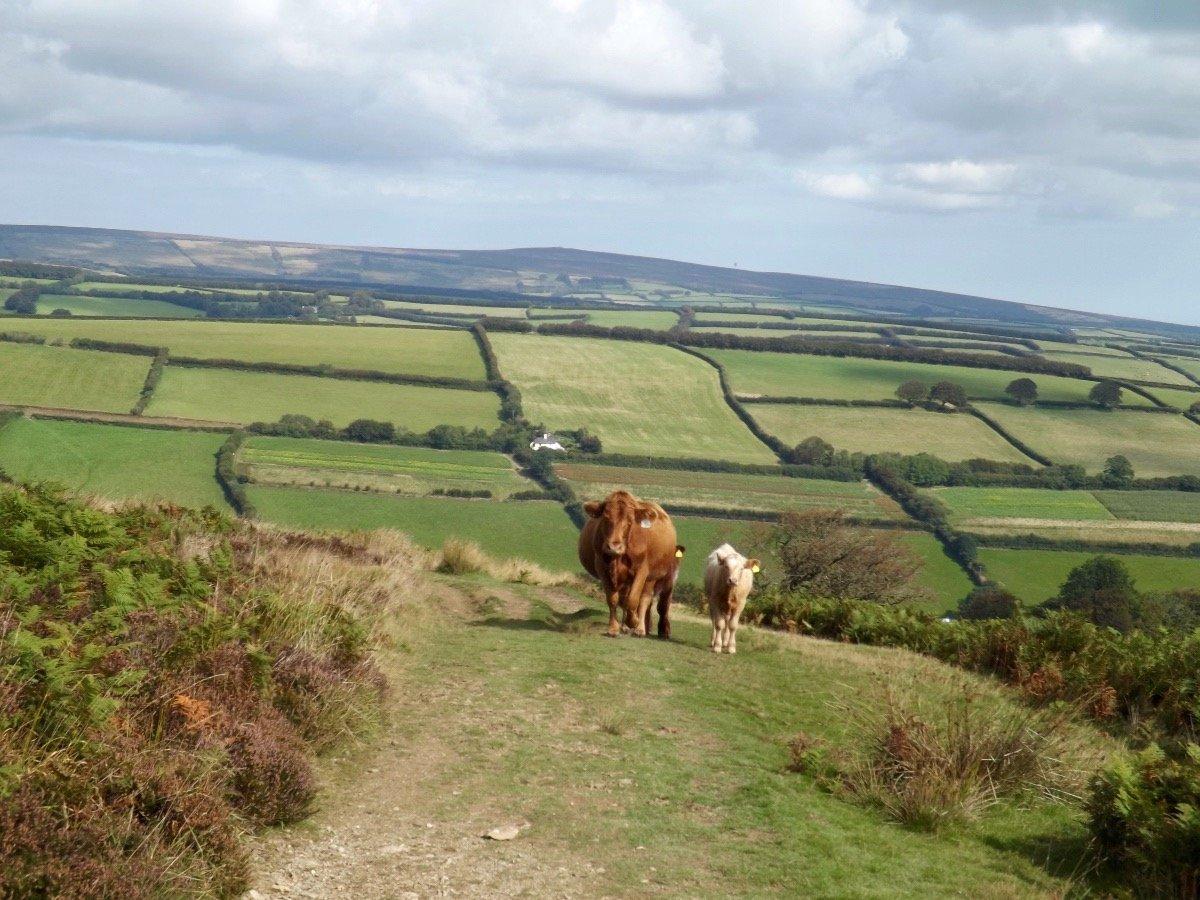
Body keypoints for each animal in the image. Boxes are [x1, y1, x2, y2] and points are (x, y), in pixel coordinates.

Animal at [580, 489, 686, 638]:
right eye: (605, 518)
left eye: (630, 521)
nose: (614, 547)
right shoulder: (602, 568)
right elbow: (613, 599)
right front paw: (614, 628)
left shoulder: (642, 571)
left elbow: (633, 600)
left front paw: (634, 622)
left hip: (653, 578)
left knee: (646, 599)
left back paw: (641, 628)